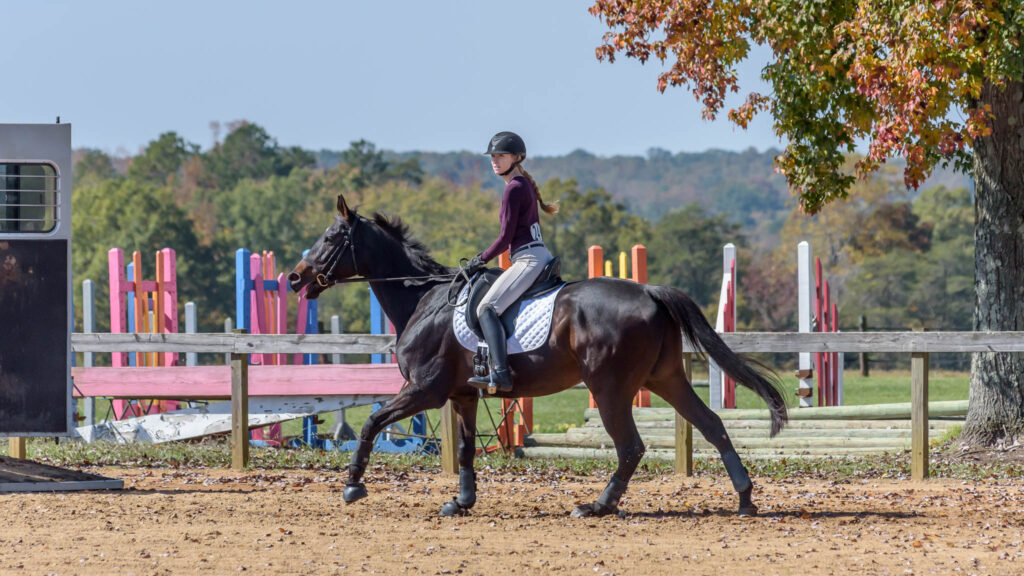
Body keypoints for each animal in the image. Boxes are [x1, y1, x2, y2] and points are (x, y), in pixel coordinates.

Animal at [292, 194, 786, 518]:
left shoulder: (424, 391)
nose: (296, 279)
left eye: (332, 236)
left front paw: (353, 486)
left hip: (609, 388)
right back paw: (745, 499)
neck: (423, 300)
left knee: (631, 446)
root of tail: (648, 290)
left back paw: (598, 506)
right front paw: (462, 501)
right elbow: (467, 448)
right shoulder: (462, 395)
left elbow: (372, 423)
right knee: (712, 425)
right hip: (664, 378)